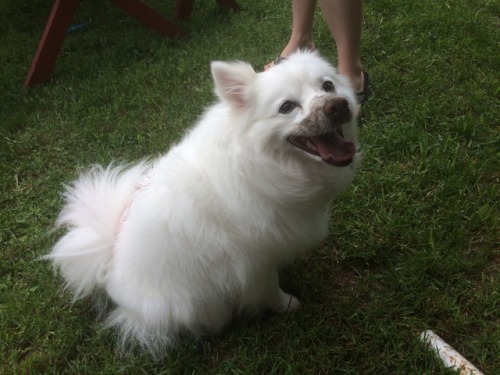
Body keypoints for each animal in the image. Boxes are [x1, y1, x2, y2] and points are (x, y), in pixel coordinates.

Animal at [46, 50, 360, 358]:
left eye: (328, 86)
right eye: (287, 107)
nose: (337, 106)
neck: (257, 163)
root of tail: (108, 266)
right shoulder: (256, 261)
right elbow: (270, 287)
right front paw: (286, 304)